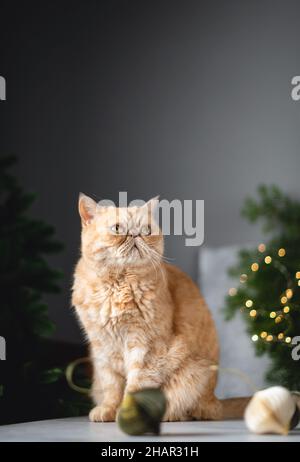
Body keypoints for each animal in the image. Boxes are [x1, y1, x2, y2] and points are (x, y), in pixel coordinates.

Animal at [72, 193, 248, 420]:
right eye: (118, 229)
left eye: (146, 230)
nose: (135, 234)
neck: (118, 286)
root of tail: (215, 400)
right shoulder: (102, 347)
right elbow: (111, 385)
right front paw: (108, 410)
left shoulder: (145, 346)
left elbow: (135, 384)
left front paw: (126, 413)